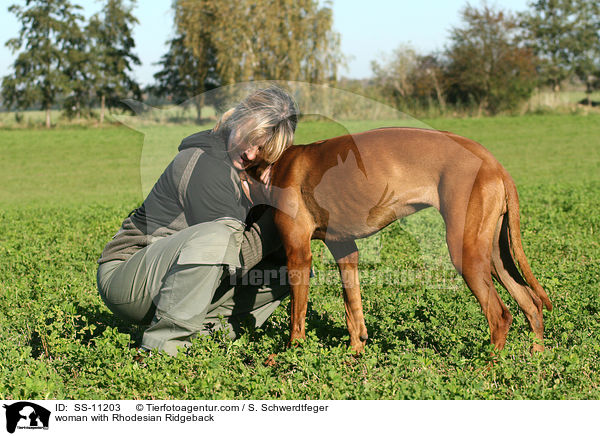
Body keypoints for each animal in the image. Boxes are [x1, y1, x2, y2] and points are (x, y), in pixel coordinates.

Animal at [255, 127, 552, 354]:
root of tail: (493, 163)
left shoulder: (298, 254)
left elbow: (296, 316)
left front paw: (292, 355)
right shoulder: (345, 250)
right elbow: (352, 309)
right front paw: (355, 353)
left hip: (466, 253)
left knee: (500, 316)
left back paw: (486, 369)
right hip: (494, 254)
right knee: (531, 303)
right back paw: (535, 358)